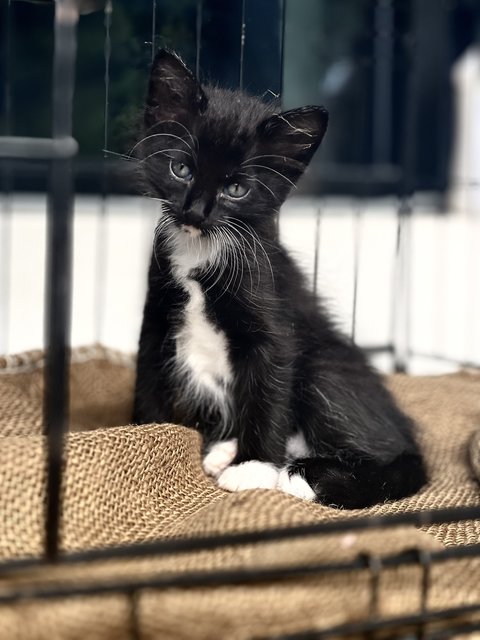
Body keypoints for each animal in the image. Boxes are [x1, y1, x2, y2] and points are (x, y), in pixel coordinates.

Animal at [132, 48, 428, 510]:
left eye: (236, 189)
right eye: (180, 169)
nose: (194, 212)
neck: (202, 250)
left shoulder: (273, 325)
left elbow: (268, 392)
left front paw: (254, 467)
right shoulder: (157, 319)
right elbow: (148, 381)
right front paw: (146, 432)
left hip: (325, 370)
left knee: (401, 464)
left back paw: (303, 475)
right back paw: (226, 450)